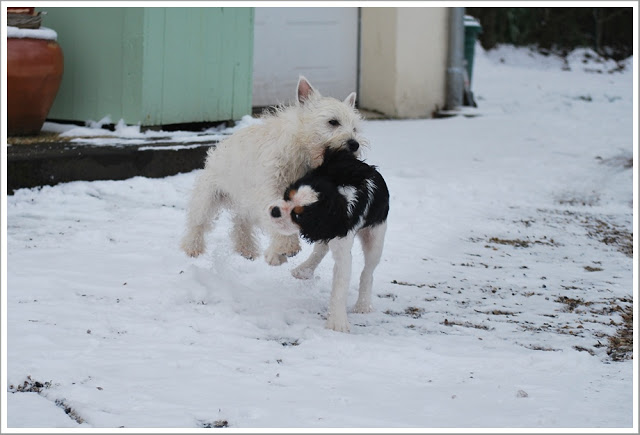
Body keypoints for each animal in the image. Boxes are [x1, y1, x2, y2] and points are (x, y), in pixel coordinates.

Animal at [182, 76, 368, 264]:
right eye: (333, 121)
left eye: (354, 128)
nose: (354, 144)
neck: (301, 153)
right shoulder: (269, 188)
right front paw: (287, 246)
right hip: (209, 195)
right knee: (198, 221)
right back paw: (192, 248)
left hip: (243, 201)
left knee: (241, 223)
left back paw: (246, 249)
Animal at [268, 148, 388, 332]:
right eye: (287, 196)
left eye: (298, 216)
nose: (275, 211)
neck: (337, 195)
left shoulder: (341, 242)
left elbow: (340, 283)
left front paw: (337, 323)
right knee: (321, 248)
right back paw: (304, 270)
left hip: (375, 235)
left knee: (368, 271)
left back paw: (363, 305)